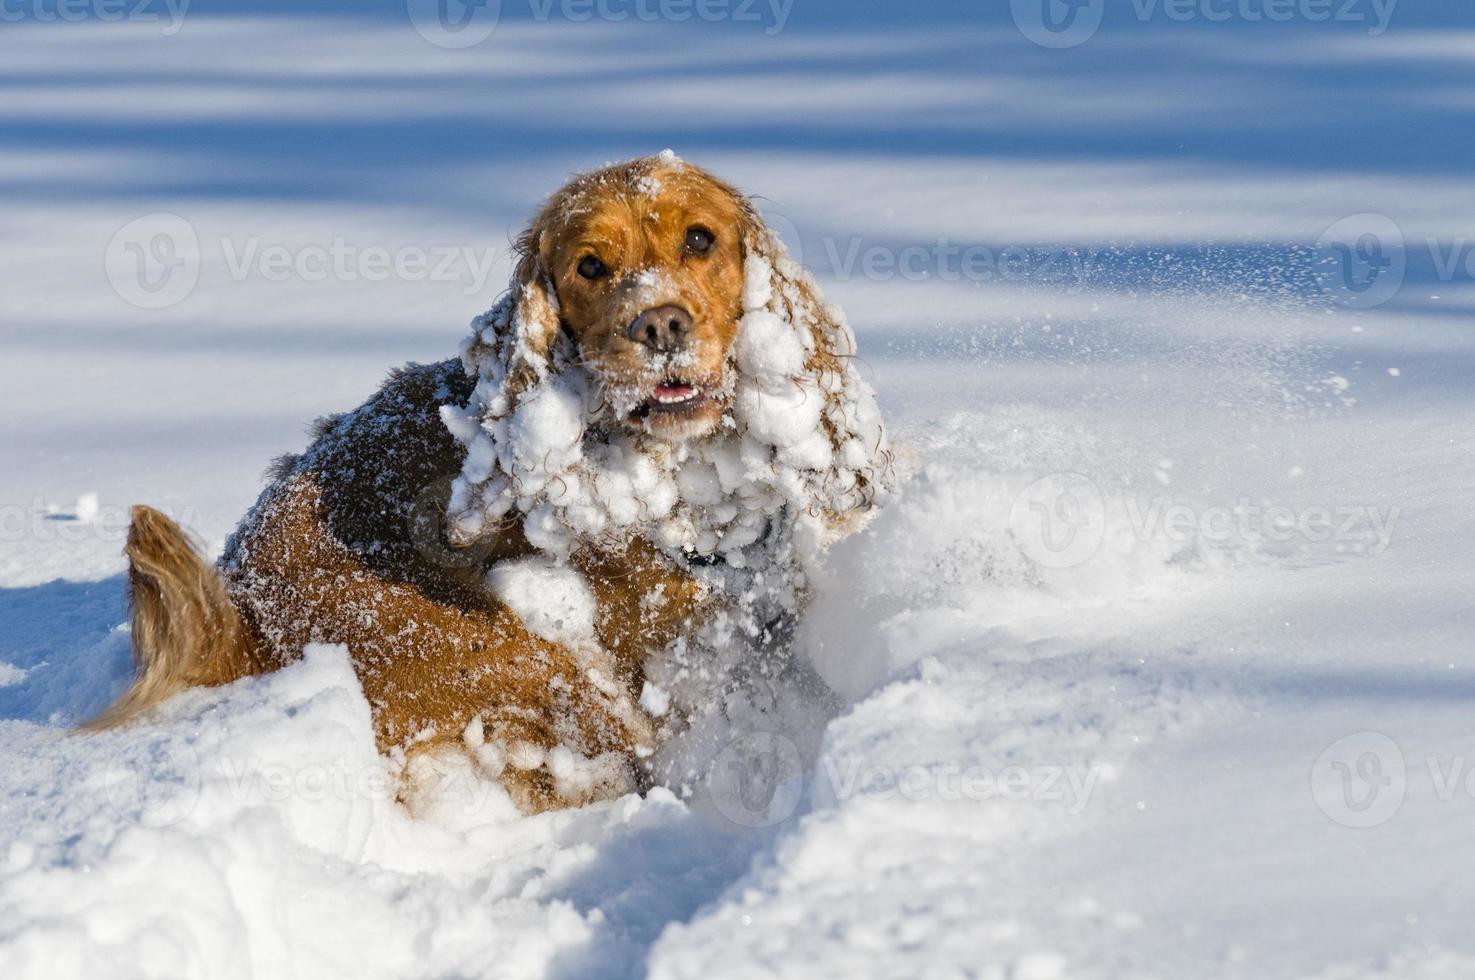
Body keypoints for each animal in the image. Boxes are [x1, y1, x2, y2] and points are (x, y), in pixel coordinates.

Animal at [101, 153, 896, 808]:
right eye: (589, 267)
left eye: (699, 240)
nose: (661, 326)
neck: (676, 485)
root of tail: (242, 618)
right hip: (499, 647)